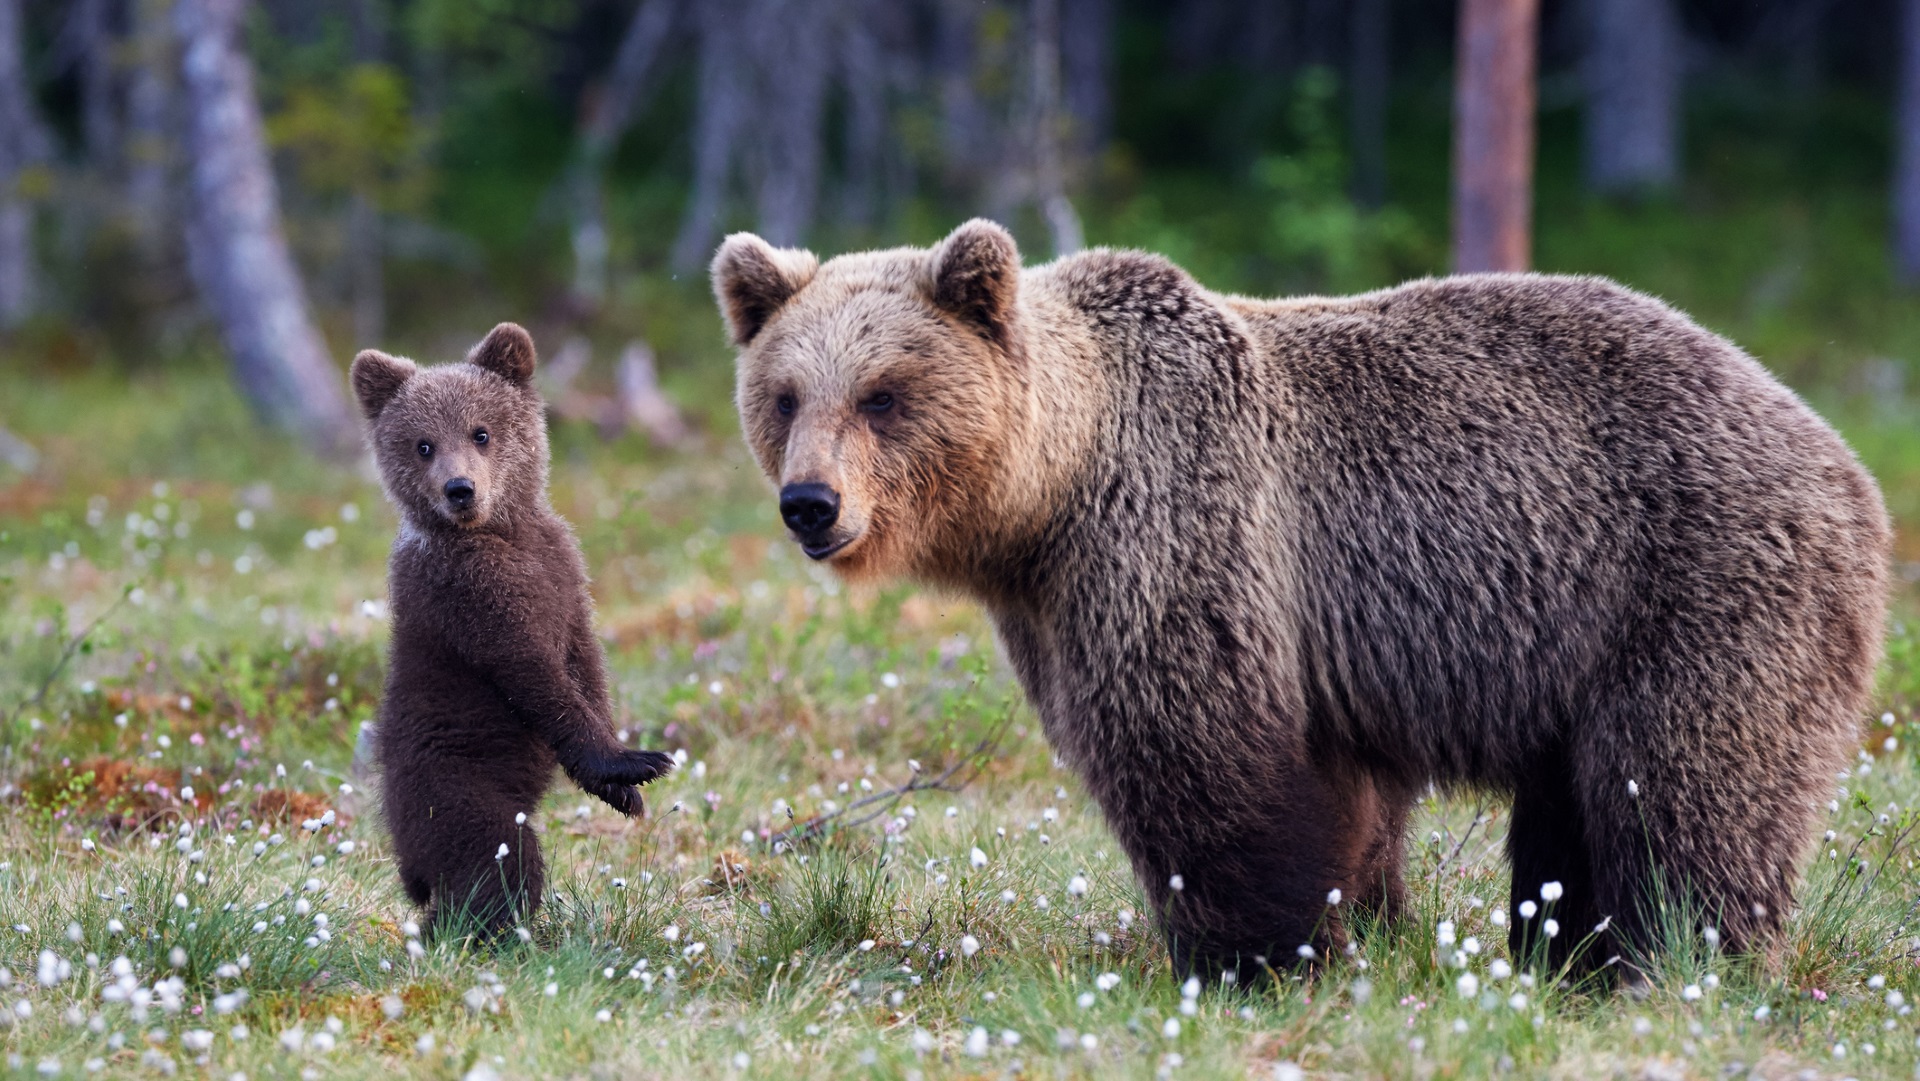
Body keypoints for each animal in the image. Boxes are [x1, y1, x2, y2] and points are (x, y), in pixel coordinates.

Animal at [710, 217, 1889, 983]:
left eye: (884, 395)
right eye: (785, 395)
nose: (810, 504)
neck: (1049, 499)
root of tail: (1844, 460)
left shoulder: (1179, 541)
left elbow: (1205, 759)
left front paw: (1253, 956)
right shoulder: (1061, 603)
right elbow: (1344, 799)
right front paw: (1365, 928)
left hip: (1694, 586)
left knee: (1681, 787)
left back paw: (1677, 957)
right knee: (1577, 810)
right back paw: (1571, 957)